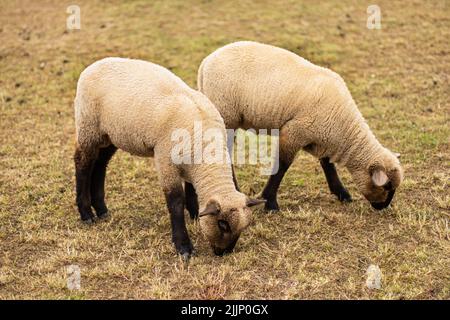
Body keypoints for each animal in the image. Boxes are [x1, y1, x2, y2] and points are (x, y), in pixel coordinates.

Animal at [73, 57, 264, 258]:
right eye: (222, 224)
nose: (223, 252)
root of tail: (95, 64)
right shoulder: (165, 160)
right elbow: (176, 201)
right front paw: (183, 246)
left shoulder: (190, 163)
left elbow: (191, 190)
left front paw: (195, 215)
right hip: (88, 127)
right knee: (83, 164)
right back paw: (86, 214)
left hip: (111, 133)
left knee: (100, 164)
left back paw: (101, 210)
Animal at [199, 41, 402, 211]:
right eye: (387, 186)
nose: (383, 208)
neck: (345, 128)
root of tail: (205, 62)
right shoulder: (295, 132)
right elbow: (282, 166)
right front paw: (270, 203)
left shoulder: (321, 136)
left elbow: (327, 165)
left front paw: (342, 193)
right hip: (226, 115)